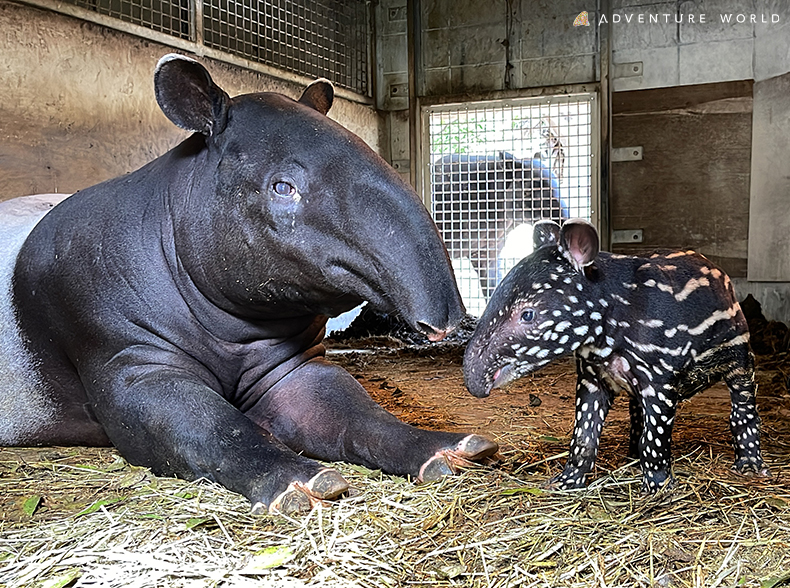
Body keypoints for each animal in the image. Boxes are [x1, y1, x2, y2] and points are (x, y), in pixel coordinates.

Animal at [464, 218, 772, 494]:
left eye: (527, 315)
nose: (474, 380)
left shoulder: (658, 378)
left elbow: (654, 439)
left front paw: (658, 489)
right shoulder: (592, 378)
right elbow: (584, 436)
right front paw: (565, 483)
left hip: (738, 350)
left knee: (743, 406)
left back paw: (750, 466)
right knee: (637, 413)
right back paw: (632, 458)